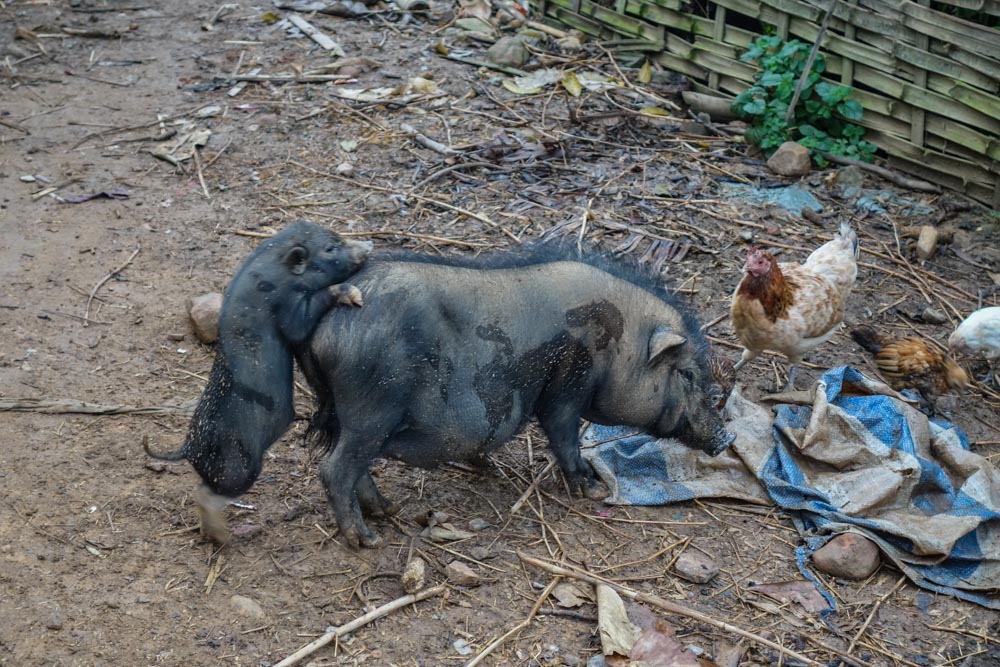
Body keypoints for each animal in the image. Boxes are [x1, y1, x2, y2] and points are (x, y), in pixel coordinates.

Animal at [145, 222, 372, 544]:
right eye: (330, 248)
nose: (368, 245)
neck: (279, 273)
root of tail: (187, 447)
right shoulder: (288, 308)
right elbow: (299, 324)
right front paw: (354, 295)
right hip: (240, 468)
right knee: (206, 494)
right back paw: (225, 538)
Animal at [296, 245, 736, 548]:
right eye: (687, 373)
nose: (725, 436)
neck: (620, 344)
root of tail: (323, 325)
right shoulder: (565, 389)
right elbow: (564, 437)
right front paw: (593, 488)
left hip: (354, 416)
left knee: (354, 466)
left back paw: (389, 511)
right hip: (370, 410)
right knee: (335, 469)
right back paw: (367, 540)